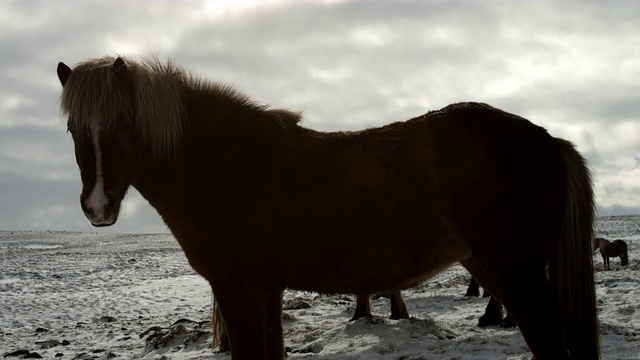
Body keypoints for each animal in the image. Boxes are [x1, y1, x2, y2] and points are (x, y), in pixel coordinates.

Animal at [56, 56, 600, 360]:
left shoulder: (238, 289)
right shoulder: (265, 290)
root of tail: (549, 142)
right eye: (72, 129)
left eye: (124, 124)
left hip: (517, 273)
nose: (98, 207)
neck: (229, 163)